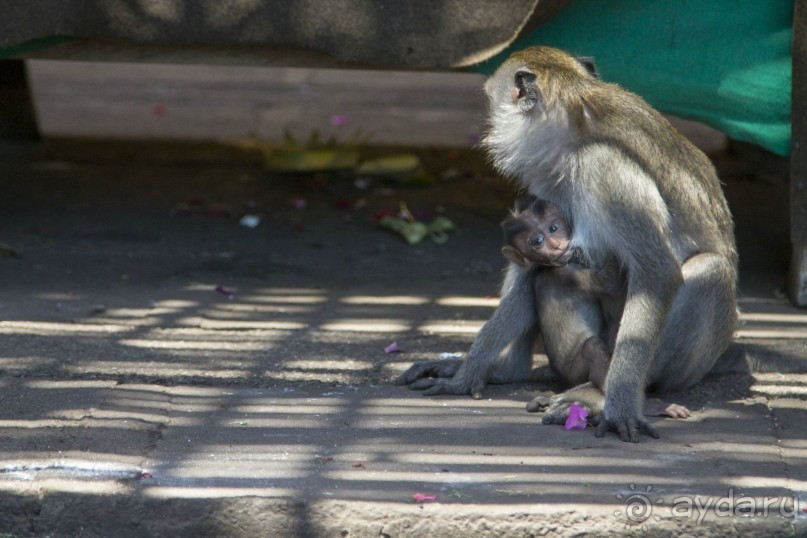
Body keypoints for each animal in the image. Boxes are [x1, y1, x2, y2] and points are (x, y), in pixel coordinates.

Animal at [502, 194, 692, 418]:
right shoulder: (570, 273)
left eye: (553, 228)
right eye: (537, 241)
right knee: (593, 347)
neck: (547, 266)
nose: (556, 245)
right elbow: (610, 283)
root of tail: (561, 378)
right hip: (574, 372)